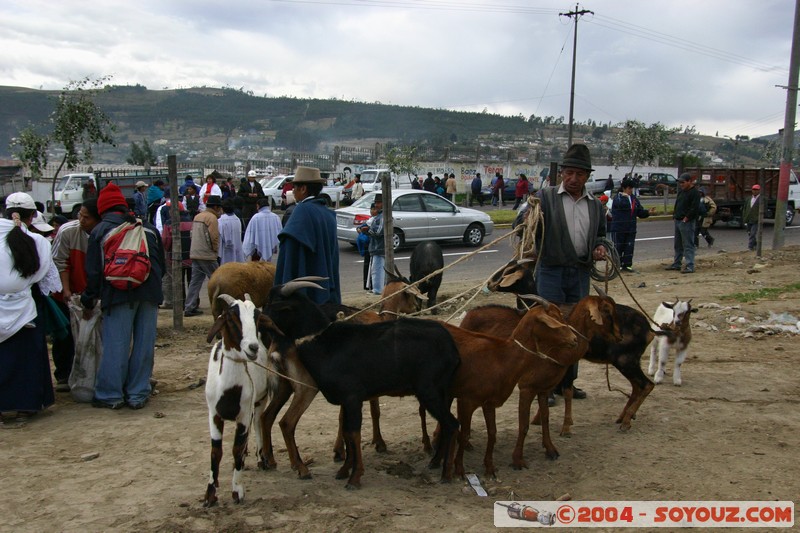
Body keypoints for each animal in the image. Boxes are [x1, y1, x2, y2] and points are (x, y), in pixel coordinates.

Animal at [203, 296, 278, 508]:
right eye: (231, 317)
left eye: (257, 317)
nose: (252, 347)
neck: (229, 390)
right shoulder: (214, 415)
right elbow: (215, 452)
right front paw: (210, 494)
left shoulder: (244, 415)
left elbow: (236, 449)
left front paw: (237, 490)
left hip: (259, 400)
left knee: (258, 423)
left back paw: (261, 458)